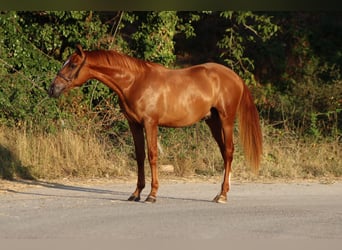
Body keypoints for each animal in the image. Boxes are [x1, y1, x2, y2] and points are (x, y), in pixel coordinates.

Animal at [48, 45, 262, 204]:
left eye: (73, 64)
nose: (53, 88)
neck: (134, 82)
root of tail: (236, 77)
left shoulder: (150, 123)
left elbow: (152, 156)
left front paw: (152, 195)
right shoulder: (134, 124)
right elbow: (140, 156)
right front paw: (136, 193)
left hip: (226, 120)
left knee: (229, 152)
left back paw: (223, 195)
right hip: (213, 121)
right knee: (224, 153)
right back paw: (220, 193)